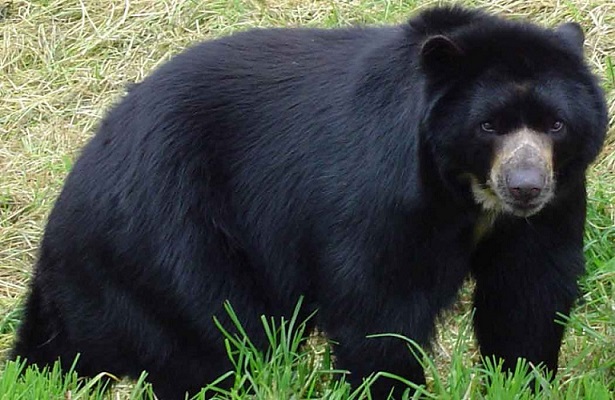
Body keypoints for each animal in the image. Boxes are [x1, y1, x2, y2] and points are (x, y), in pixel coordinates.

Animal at [12, 3, 608, 400]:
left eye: (555, 125)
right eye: (489, 126)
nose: (526, 186)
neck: (467, 190)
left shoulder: (553, 205)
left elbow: (527, 295)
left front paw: (524, 381)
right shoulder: (383, 195)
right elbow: (379, 305)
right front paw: (390, 385)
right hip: (166, 238)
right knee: (213, 337)